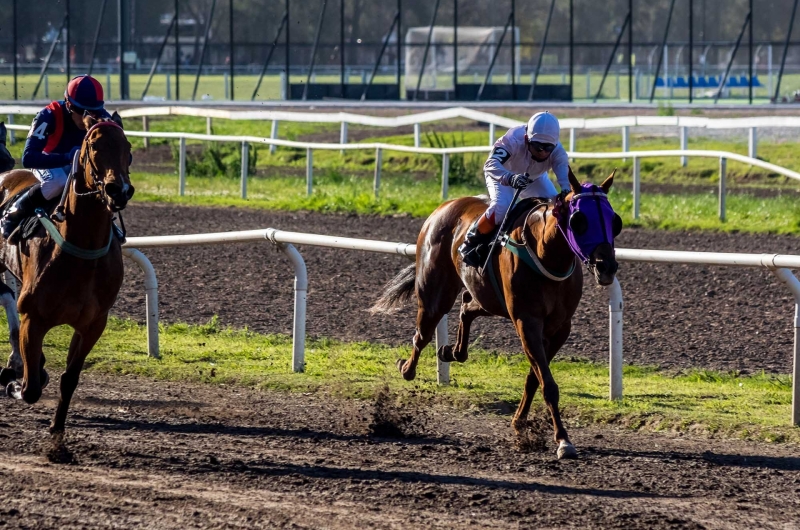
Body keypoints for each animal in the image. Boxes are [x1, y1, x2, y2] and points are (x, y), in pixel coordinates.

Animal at [0, 113, 133, 436]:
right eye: (94, 145)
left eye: (128, 146)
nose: (119, 190)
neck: (81, 249)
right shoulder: (33, 317)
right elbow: (31, 388)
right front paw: (14, 381)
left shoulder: (93, 324)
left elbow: (69, 379)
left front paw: (57, 428)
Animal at [372, 167, 620, 456]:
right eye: (579, 220)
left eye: (614, 220)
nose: (606, 267)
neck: (546, 254)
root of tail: (444, 206)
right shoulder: (527, 321)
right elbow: (547, 383)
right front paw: (563, 440)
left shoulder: (560, 327)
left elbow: (535, 378)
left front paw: (520, 423)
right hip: (435, 294)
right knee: (422, 333)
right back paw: (407, 368)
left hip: (488, 297)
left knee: (467, 306)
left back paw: (452, 351)